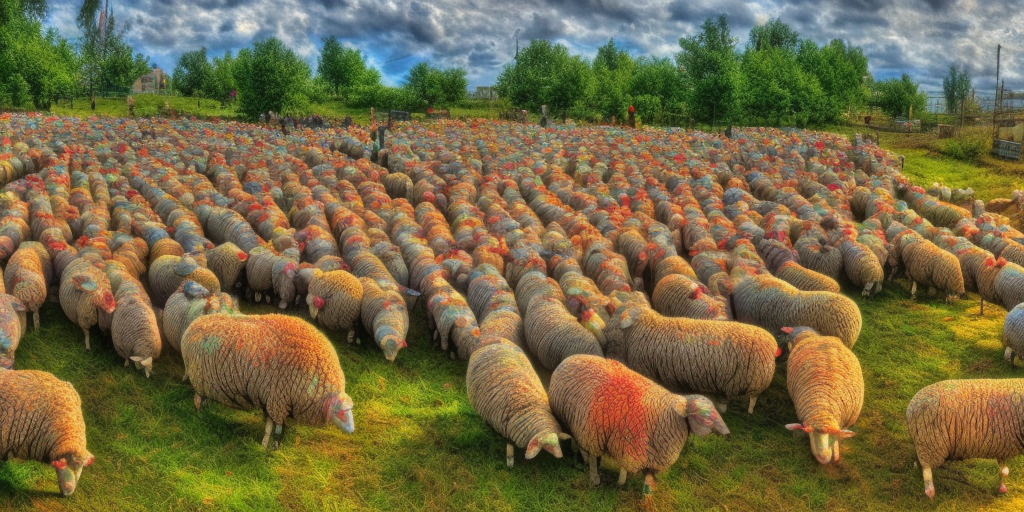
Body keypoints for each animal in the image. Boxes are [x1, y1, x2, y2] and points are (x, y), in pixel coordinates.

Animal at [183, 311, 356, 448]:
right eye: (342, 413)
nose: (352, 431)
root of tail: (193, 324)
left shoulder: (272, 401)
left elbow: (269, 426)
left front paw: (264, 446)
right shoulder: (277, 401)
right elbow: (277, 430)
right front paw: (272, 448)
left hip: (205, 382)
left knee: (203, 399)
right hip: (198, 378)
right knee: (197, 400)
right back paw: (200, 416)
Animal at [468, 337, 573, 466]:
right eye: (548, 445)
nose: (560, 456)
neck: (527, 408)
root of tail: (493, 338)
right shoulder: (506, 433)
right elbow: (509, 448)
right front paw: (510, 462)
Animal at [552, 356, 729, 499]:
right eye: (702, 414)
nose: (727, 433)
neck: (667, 417)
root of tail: (568, 359)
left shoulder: (652, 455)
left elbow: (648, 479)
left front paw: (647, 494)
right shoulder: (632, 447)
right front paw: (624, 483)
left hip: (579, 424)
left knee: (580, 444)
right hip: (590, 430)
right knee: (593, 454)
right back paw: (594, 476)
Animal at [598, 296, 774, 411]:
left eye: (618, 315)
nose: (604, 331)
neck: (646, 327)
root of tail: (771, 345)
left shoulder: (645, 367)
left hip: (746, 379)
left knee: (749, 399)